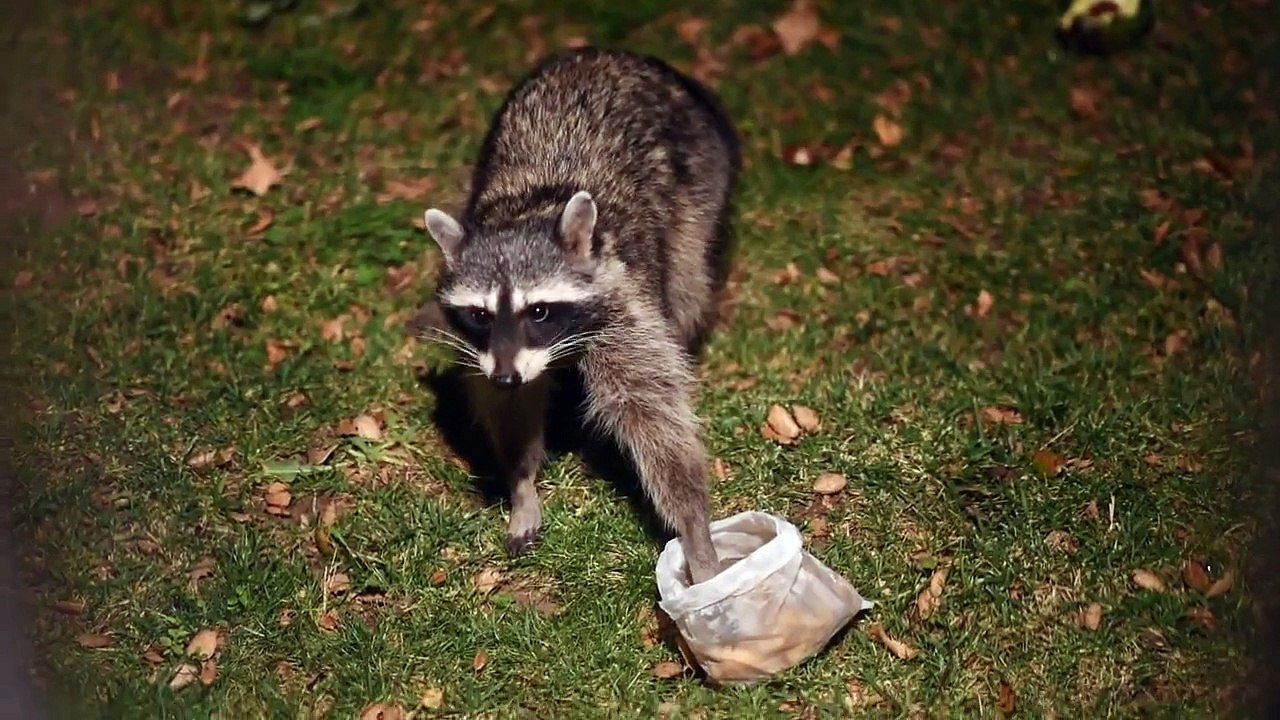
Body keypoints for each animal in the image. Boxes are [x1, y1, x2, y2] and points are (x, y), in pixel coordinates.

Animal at [417, 47, 740, 585]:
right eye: (480, 314)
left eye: (539, 310)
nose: (507, 376)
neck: (525, 214)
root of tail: (618, 55)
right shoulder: (491, 353)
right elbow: (508, 407)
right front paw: (521, 482)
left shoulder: (622, 309)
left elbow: (653, 412)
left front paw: (696, 534)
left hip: (700, 183)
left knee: (687, 283)